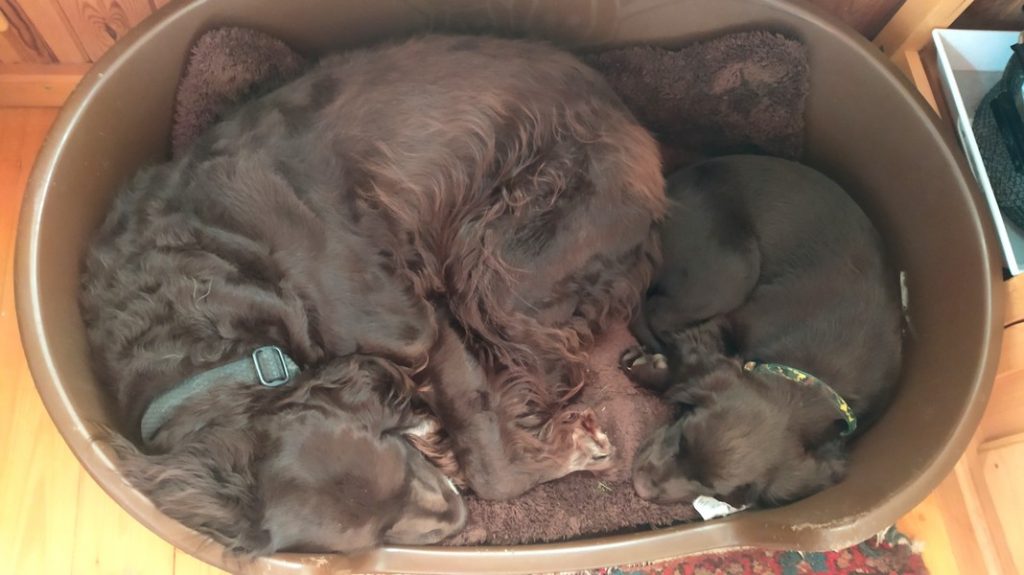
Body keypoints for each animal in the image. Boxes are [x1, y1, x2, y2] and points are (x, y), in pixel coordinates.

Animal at [80, 34, 665, 555]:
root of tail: (633, 123)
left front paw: (560, 449)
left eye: (394, 461)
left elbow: (492, 467)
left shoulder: (415, 325)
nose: (456, 519)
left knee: (550, 366)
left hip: (502, 258)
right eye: (374, 535)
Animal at [621, 155, 902, 509]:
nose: (641, 488)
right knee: (650, 309)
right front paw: (652, 369)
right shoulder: (732, 322)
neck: (806, 380)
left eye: (710, 487)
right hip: (734, 270)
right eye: (682, 438)